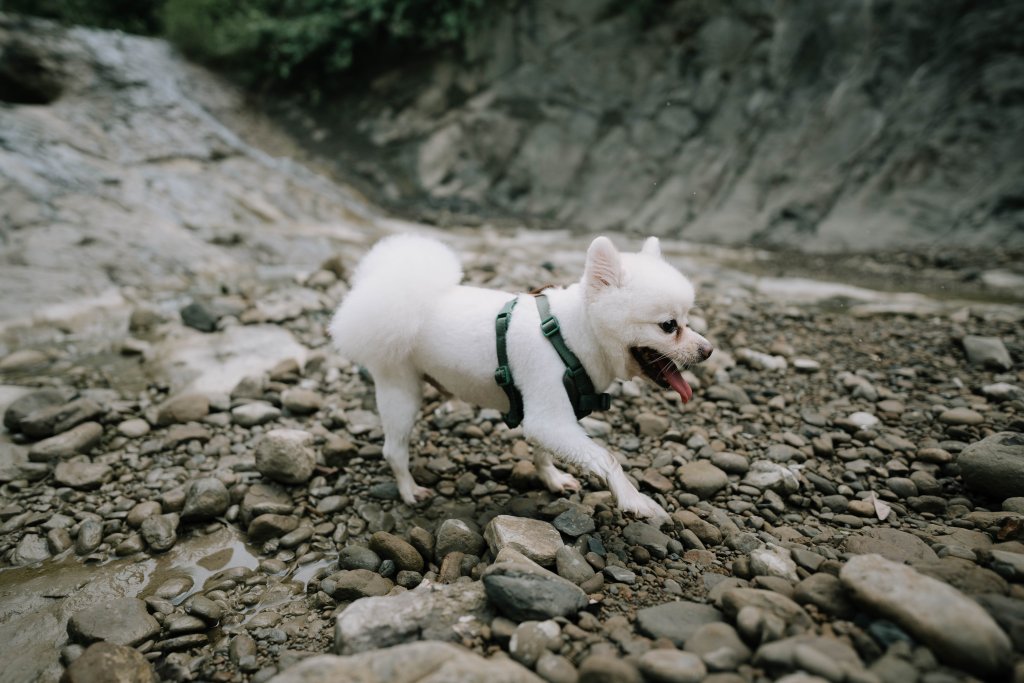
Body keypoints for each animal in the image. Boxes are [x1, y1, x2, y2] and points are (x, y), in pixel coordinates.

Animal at [329, 233, 712, 524]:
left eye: (687, 321)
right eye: (669, 326)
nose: (707, 350)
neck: (573, 334)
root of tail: (375, 290)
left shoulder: (545, 415)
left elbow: (543, 453)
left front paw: (552, 479)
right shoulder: (548, 416)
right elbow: (607, 459)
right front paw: (635, 500)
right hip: (401, 391)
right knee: (394, 450)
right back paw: (409, 490)